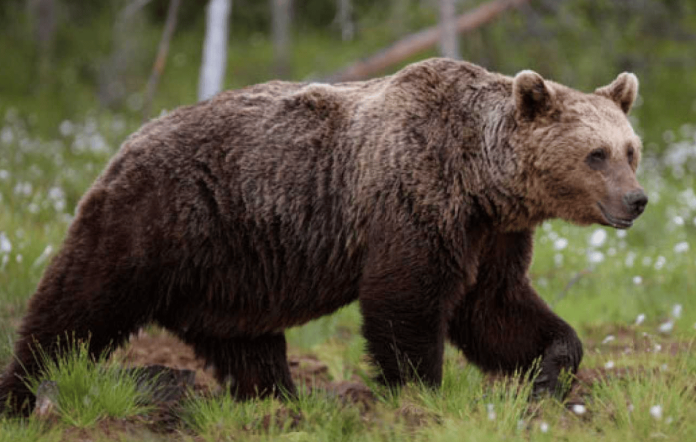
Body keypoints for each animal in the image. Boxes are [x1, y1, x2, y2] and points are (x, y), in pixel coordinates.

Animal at [0, 58, 647, 415]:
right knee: (78, 302)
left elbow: (497, 309)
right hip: (155, 220)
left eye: (630, 149)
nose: (637, 201)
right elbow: (406, 303)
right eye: (596, 154)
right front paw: (417, 394)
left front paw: (550, 374)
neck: (481, 180)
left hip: (232, 271)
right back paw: (24, 392)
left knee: (247, 344)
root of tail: (128, 138)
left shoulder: (491, 236)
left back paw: (279, 402)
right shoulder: (414, 201)